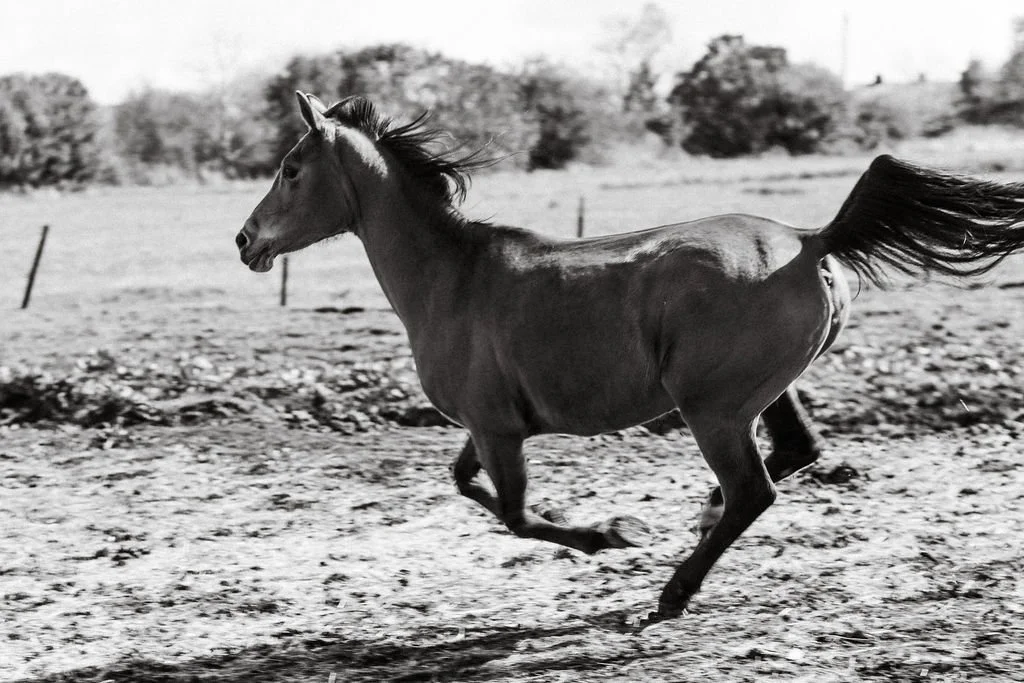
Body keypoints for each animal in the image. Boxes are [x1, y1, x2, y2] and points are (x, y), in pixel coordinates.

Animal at [236, 92, 1024, 627]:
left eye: (291, 168)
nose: (246, 240)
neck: (451, 278)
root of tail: (811, 241)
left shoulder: (497, 428)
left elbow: (516, 514)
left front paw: (610, 534)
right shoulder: (488, 425)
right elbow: (468, 484)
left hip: (711, 408)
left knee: (755, 489)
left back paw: (672, 591)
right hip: (759, 394)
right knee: (794, 453)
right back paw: (699, 524)